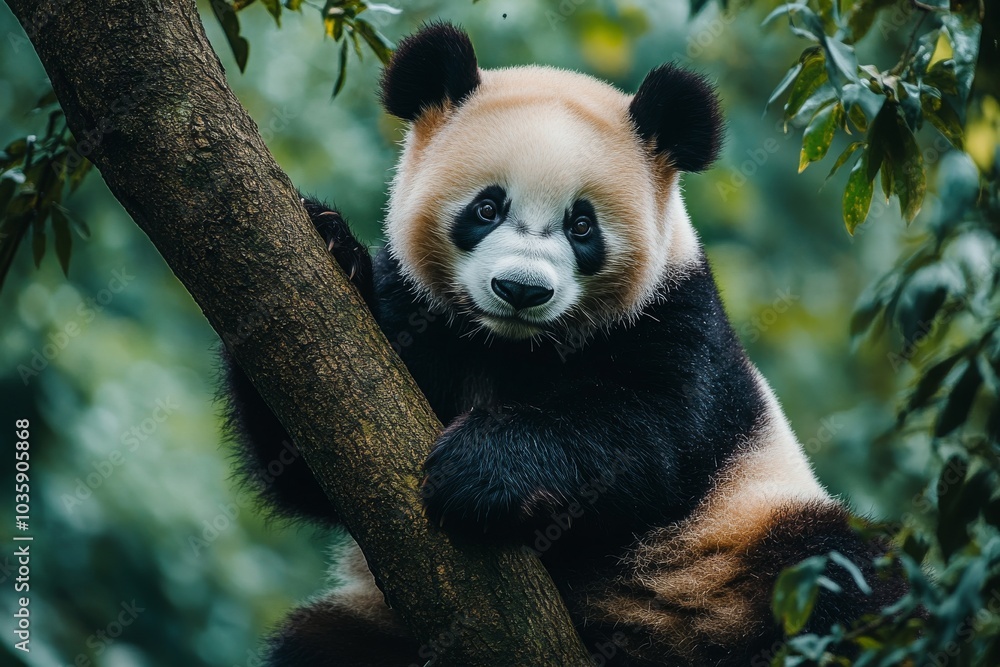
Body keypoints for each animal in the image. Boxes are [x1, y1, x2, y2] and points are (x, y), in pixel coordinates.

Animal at [221, 22, 906, 667]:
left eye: (582, 225)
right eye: (487, 208)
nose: (521, 289)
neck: (510, 345)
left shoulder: (678, 323)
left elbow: (645, 438)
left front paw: (480, 466)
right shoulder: (419, 316)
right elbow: (313, 462)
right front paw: (329, 241)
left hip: (735, 546)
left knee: (845, 573)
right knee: (319, 644)